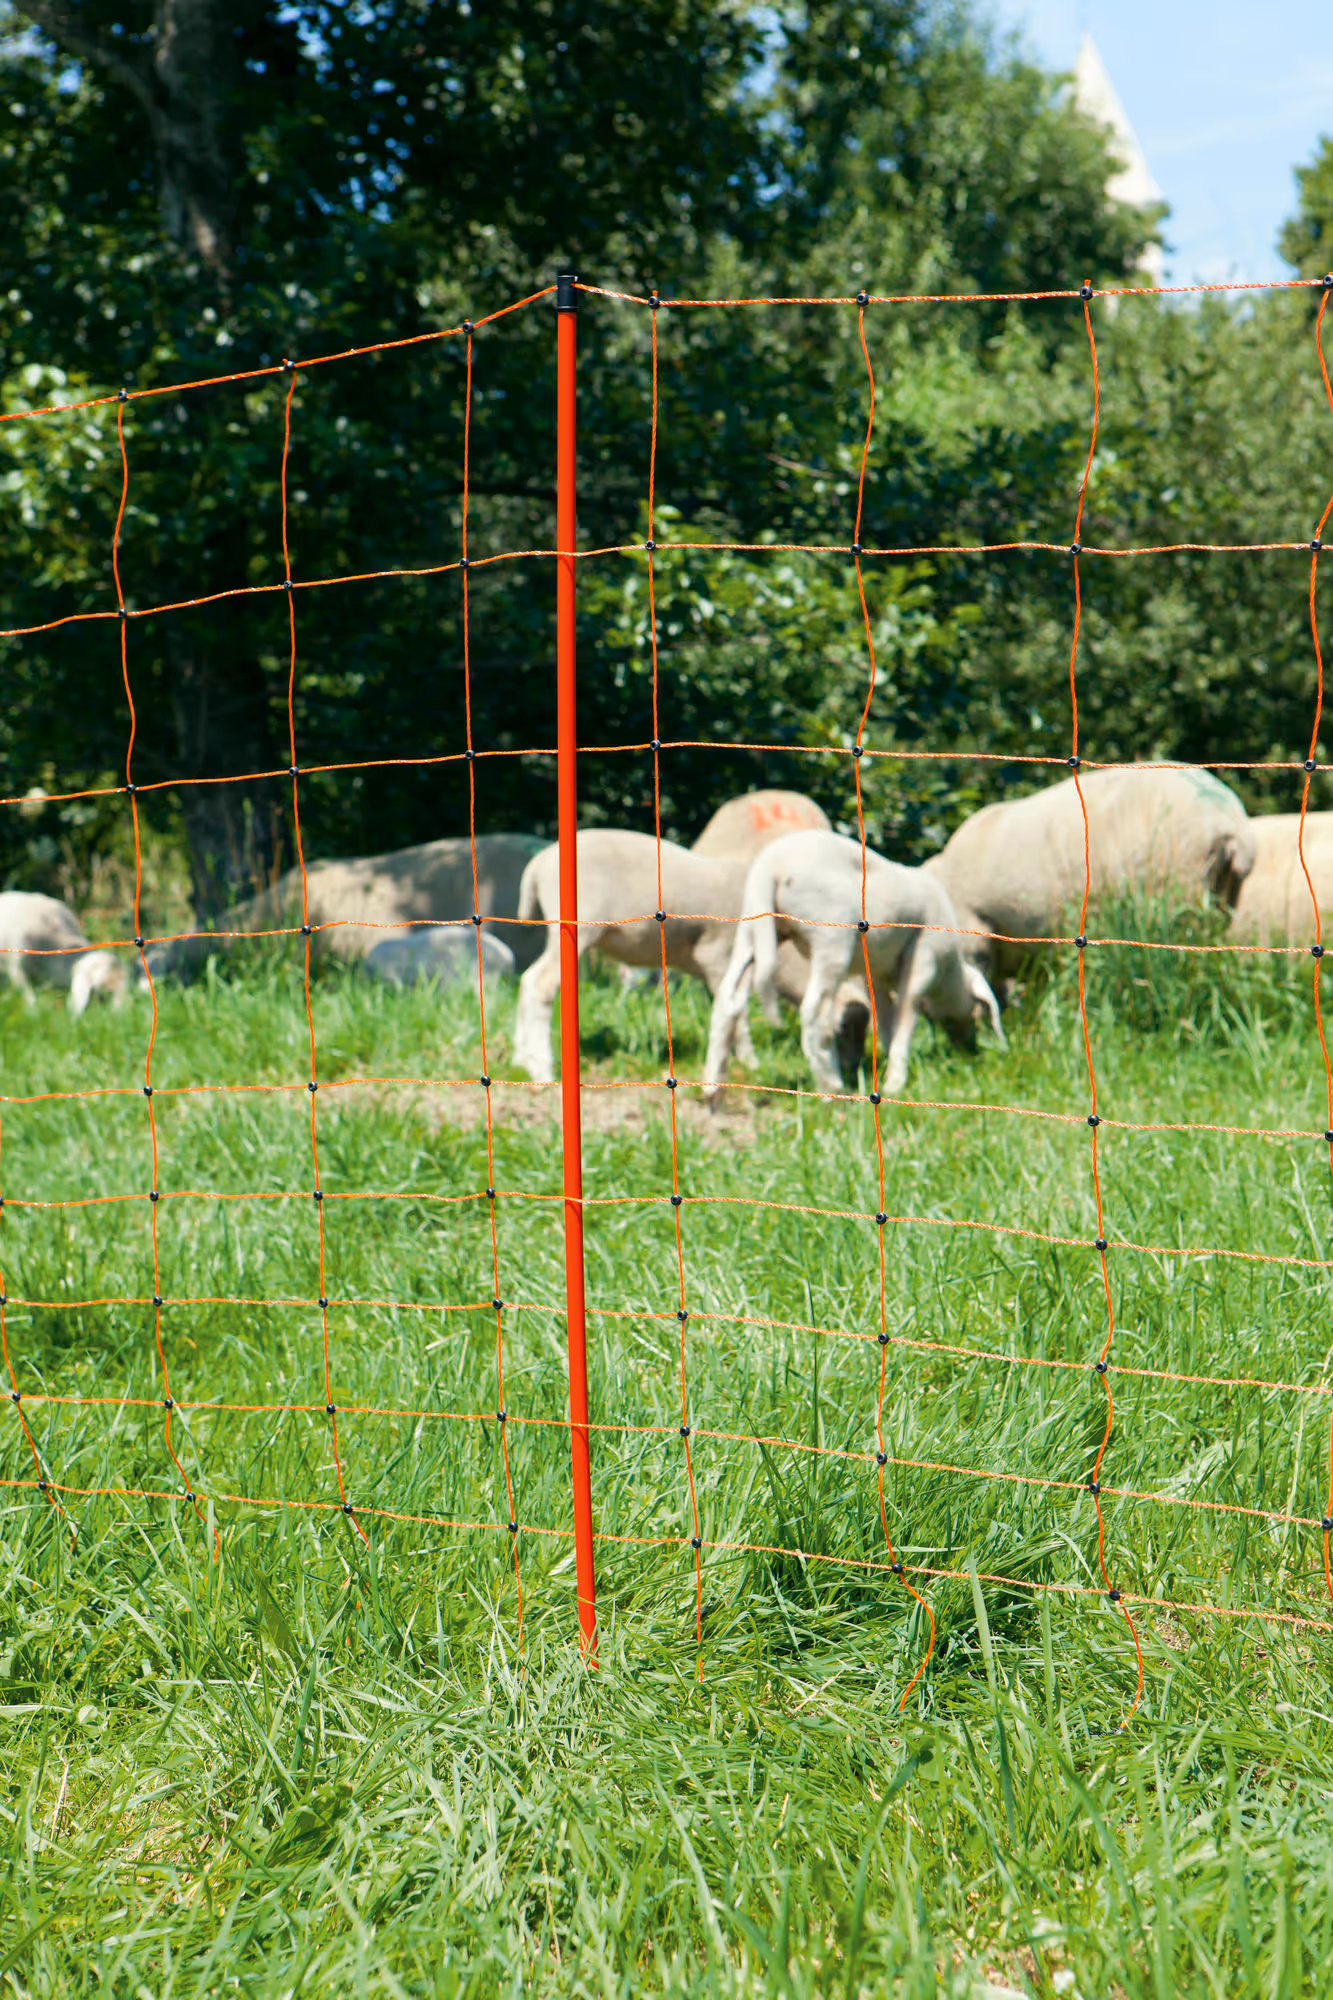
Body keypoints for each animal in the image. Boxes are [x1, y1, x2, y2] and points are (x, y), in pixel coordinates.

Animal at [702, 830, 1004, 1097]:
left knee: (727, 1001)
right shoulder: (923, 960)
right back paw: (831, 1087)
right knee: (813, 1012)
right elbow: (907, 1018)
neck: (948, 974)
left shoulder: (878, 975)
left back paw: (712, 1087)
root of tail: (769, 867)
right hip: (831, 938)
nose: (969, 1049)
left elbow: (885, 1018)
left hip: (753, 931)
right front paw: (896, 1081)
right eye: (975, 1008)